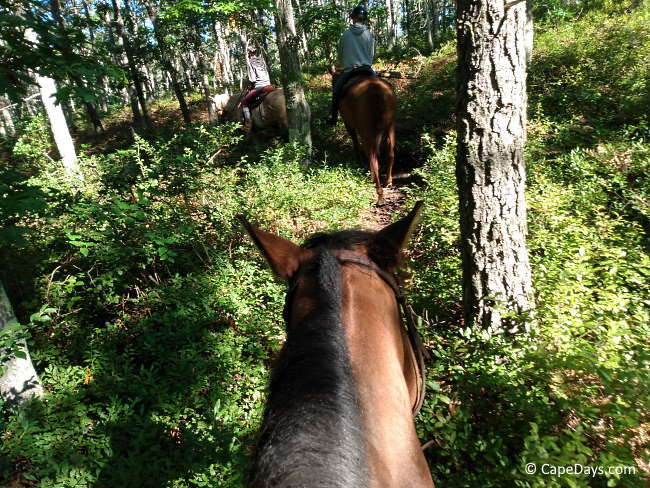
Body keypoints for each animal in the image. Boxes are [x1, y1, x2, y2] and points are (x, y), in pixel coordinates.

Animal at [338, 76, 397, 205]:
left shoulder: (349, 124)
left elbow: (355, 143)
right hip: (390, 127)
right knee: (390, 153)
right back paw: (388, 181)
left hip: (367, 132)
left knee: (373, 158)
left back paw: (379, 193)